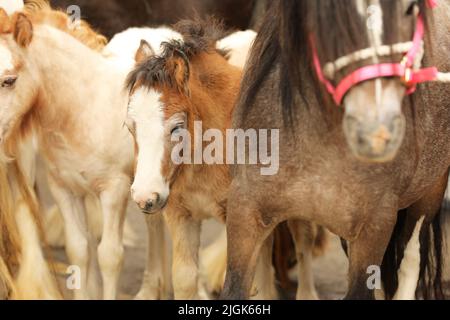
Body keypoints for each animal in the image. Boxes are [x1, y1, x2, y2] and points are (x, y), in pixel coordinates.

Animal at [221, 0, 450, 300]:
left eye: (411, 8)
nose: (377, 129)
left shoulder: (376, 225)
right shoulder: (245, 210)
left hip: (430, 191)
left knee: (411, 259)